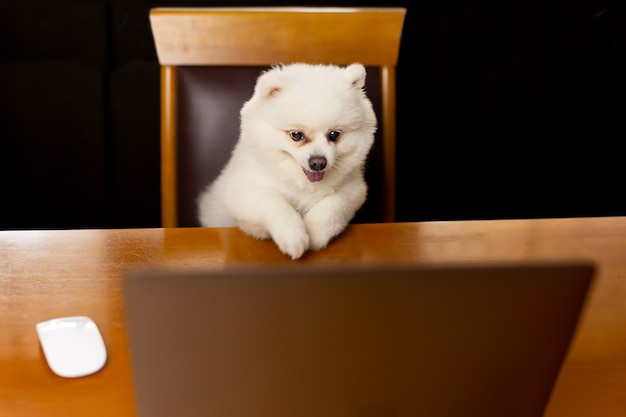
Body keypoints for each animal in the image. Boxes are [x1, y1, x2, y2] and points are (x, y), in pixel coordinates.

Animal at [197, 62, 372, 258]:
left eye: (334, 135)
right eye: (296, 135)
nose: (318, 162)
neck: (302, 184)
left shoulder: (353, 192)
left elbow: (332, 207)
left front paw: (314, 234)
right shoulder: (242, 195)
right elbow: (276, 204)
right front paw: (294, 238)